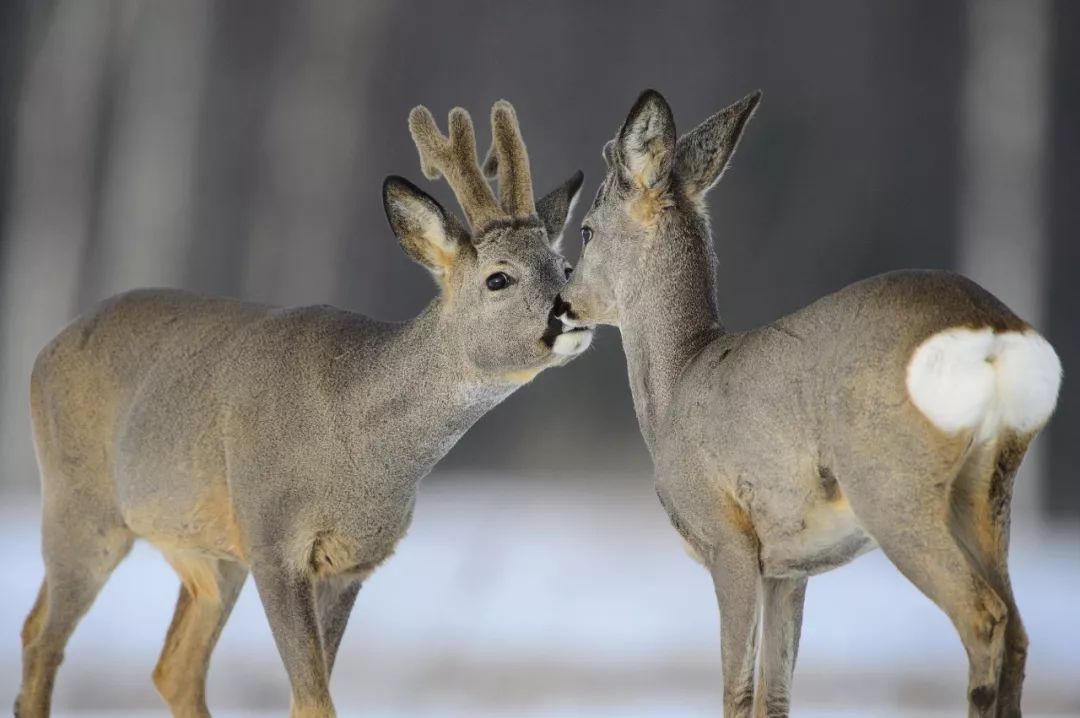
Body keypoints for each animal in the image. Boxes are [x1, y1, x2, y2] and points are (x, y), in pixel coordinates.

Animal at [16, 100, 591, 716]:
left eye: (565, 267)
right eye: (498, 278)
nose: (572, 313)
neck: (356, 440)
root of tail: (45, 350)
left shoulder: (352, 562)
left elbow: (308, 697)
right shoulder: (274, 542)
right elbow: (315, 698)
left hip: (207, 552)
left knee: (170, 665)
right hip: (82, 506)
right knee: (45, 640)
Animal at [557, 91, 1062, 716]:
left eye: (585, 231)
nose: (561, 304)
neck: (680, 380)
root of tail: (994, 330)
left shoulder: (729, 538)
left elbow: (737, 691)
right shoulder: (788, 566)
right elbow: (775, 696)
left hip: (892, 486)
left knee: (985, 616)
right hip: (988, 490)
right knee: (1017, 628)